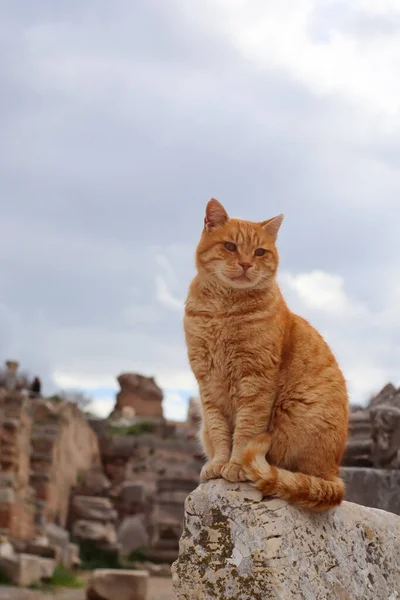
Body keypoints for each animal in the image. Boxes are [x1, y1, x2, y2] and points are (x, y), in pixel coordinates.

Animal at [186, 199, 348, 508]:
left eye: (260, 252)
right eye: (230, 247)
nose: (246, 263)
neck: (223, 310)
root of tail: (335, 472)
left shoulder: (256, 379)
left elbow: (246, 430)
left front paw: (236, 465)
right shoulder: (208, 383)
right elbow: (220, 430)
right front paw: (220, 463)